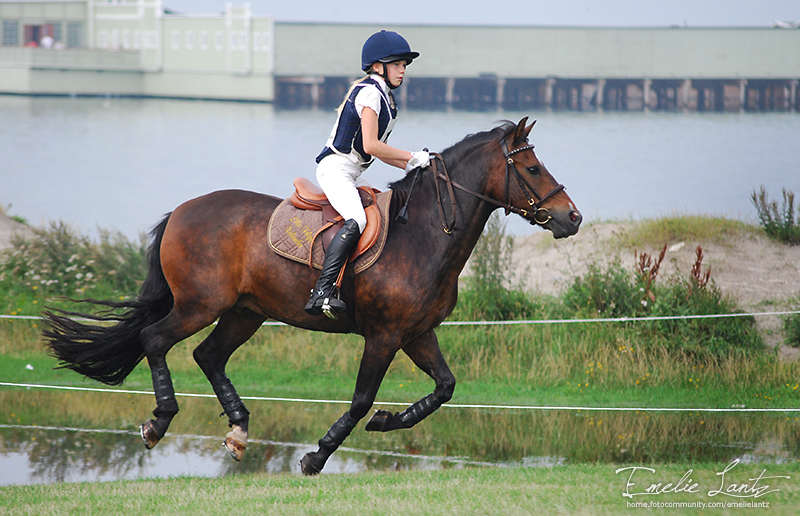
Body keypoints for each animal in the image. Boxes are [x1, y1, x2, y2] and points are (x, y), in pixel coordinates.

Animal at [43, 118, 580, 476]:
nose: (572, 218)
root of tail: (181, 210)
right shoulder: (384, 336)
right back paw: (159, 423)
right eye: (532, 168)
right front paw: (317, 455)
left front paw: (390, 421)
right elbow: (361, 399)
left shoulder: (416, 333)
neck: (424, 234)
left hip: (244, 312)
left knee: (208, 355)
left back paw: (238, 430)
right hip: (200, 305)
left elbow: (445, 387)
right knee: (156, 340)